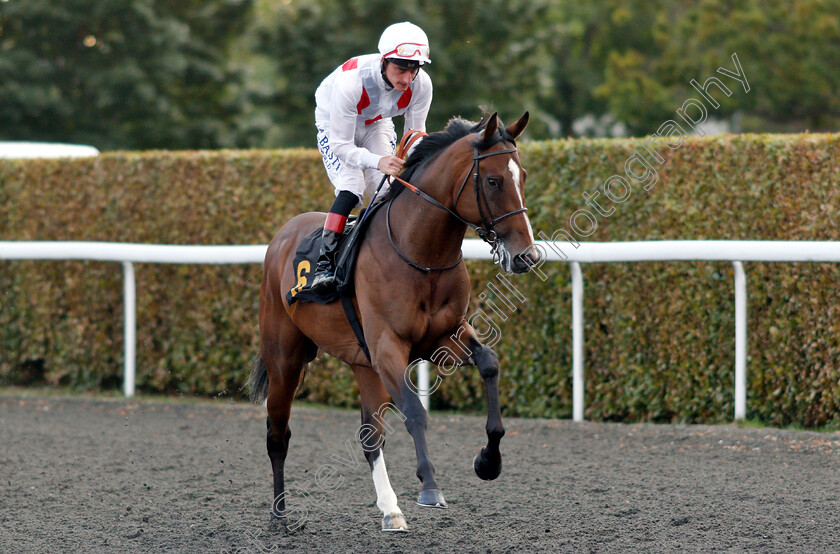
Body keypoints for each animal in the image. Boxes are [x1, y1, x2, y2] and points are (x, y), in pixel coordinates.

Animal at [246, 110, 540, 528]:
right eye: (494, 181)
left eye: (523, 176)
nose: (526, 256)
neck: (421, 254)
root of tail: (283, 236)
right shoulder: (389, 347)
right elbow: (415, 411)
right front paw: (430, 485)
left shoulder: (443, 338)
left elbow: (489, 364)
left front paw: (488, 461)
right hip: (284, 359)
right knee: (278, 433)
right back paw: (279, 515)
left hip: (363, 366)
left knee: (370, 437)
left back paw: (390, 509)